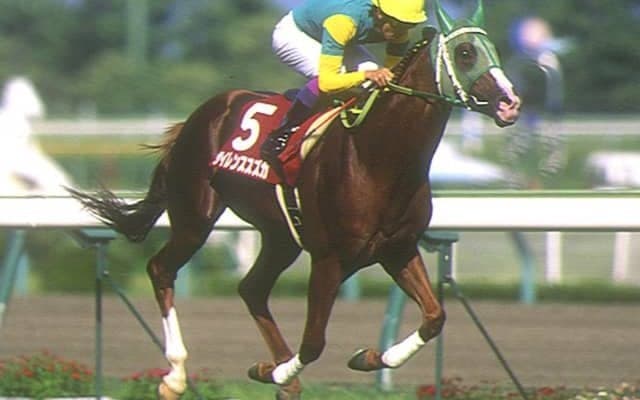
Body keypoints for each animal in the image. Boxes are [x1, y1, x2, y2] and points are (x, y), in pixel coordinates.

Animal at [69, 2, 520, 399]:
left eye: (494, 49)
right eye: (465, 53)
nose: (510, 103)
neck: (377, 157)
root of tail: (203, 113)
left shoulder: (398, 249)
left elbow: (434, 317)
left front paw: (366, 358)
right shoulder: (329, 259)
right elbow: (315, 342)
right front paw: (279, 370)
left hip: (280, 236)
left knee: (251, 288)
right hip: (195, 217)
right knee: (162, 269)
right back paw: (177, 377)